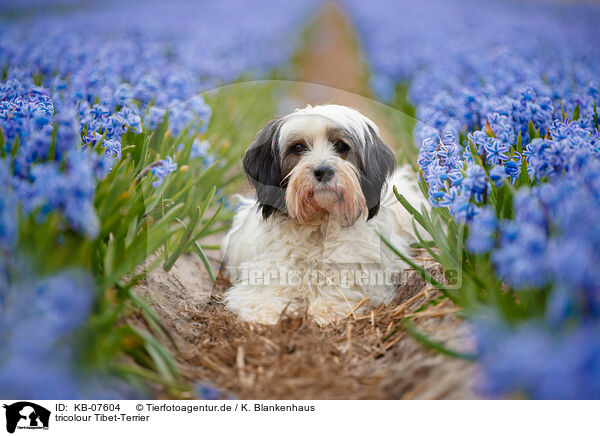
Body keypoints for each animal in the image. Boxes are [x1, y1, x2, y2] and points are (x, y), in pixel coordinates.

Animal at [221, 104, 426, 324]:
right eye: (298, 147)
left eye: (341, 146)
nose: (323, 171)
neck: (320, 224)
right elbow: (263, 295)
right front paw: (268, 314)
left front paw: (326, 309)